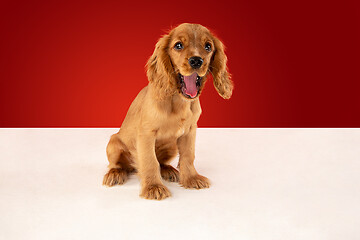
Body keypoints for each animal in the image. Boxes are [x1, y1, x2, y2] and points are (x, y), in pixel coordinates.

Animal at [104, 22, 233, 200]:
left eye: (208, 47)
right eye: (178, 45)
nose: (196, 61)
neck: (179, 101)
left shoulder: (190, 131)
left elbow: (188, 156)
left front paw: (191, 178)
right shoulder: (146, 134)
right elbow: (150, 161)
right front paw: (153, 187)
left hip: (171, 147)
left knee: (161, 162)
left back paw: (169, 170)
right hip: (113, 143)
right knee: (117, 164)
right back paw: (115, 174)